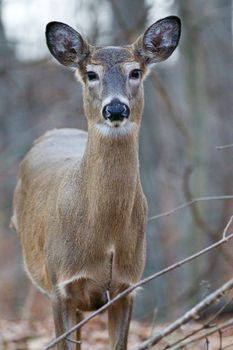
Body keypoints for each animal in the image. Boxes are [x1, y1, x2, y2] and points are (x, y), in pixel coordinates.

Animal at [11, 16, 181, 350]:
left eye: (135, 72)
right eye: (91, 73)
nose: (115, 108)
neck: (105, 235)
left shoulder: (127, 285)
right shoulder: (60, 284)